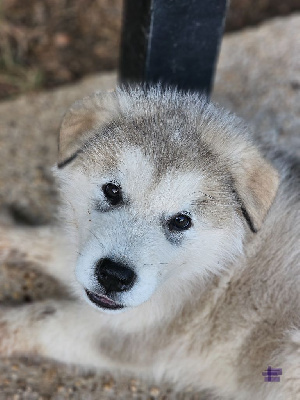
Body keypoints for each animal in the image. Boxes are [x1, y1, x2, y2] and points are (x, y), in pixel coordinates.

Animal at [1, 87, 298, 400]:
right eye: (112, 190)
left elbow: (44, 317)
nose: (114, 276)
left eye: (181, 221)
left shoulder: (133, 334)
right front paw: (7, 234)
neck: (213, 268)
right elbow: (53, 243)